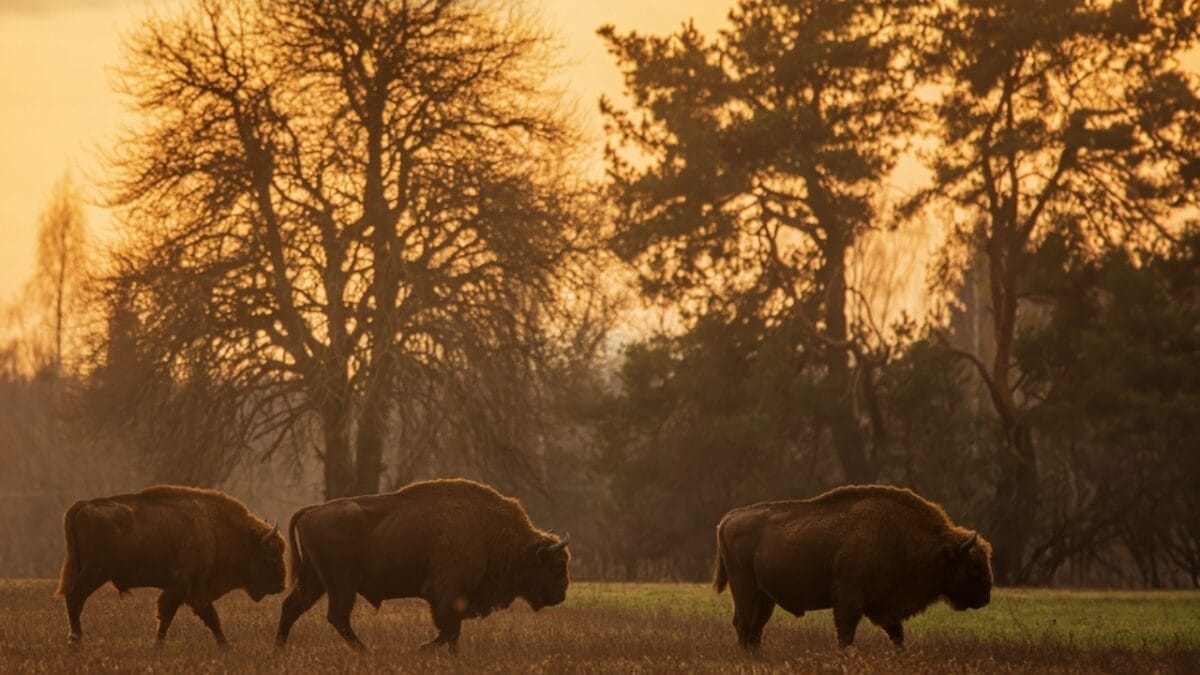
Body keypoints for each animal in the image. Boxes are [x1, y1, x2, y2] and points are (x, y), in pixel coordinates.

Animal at [56, 485, 285, 646]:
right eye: (271, 557)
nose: (281, 585)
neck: (215, 532)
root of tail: (83, 505)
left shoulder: (195, 591)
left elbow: (212, 619)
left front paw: (226, 647)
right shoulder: (180, 587)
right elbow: (166, 617)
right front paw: (156, 646)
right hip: (95, 573)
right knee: (75, 598)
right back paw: (76, 640)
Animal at [275, 478, 571, 652]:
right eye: (557, 566)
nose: (561, 594)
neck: (492, 533)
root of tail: (312, 510)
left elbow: (453, 632)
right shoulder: (444, 593)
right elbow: (449, 629)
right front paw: (419, 649)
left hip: (315, 580)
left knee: (292, 607)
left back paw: (279, 650)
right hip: (340, 584)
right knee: (337, 616)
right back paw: (366, 651)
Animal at [714, 484, 992, 650]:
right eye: (973, 567)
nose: (986, 597)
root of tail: (727, 519)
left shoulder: (885, 607)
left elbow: (897, 635)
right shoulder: (849, 600)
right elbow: (846, 635)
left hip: (765, 596)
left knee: (755, 629)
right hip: (746, 589)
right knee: (744, 624)